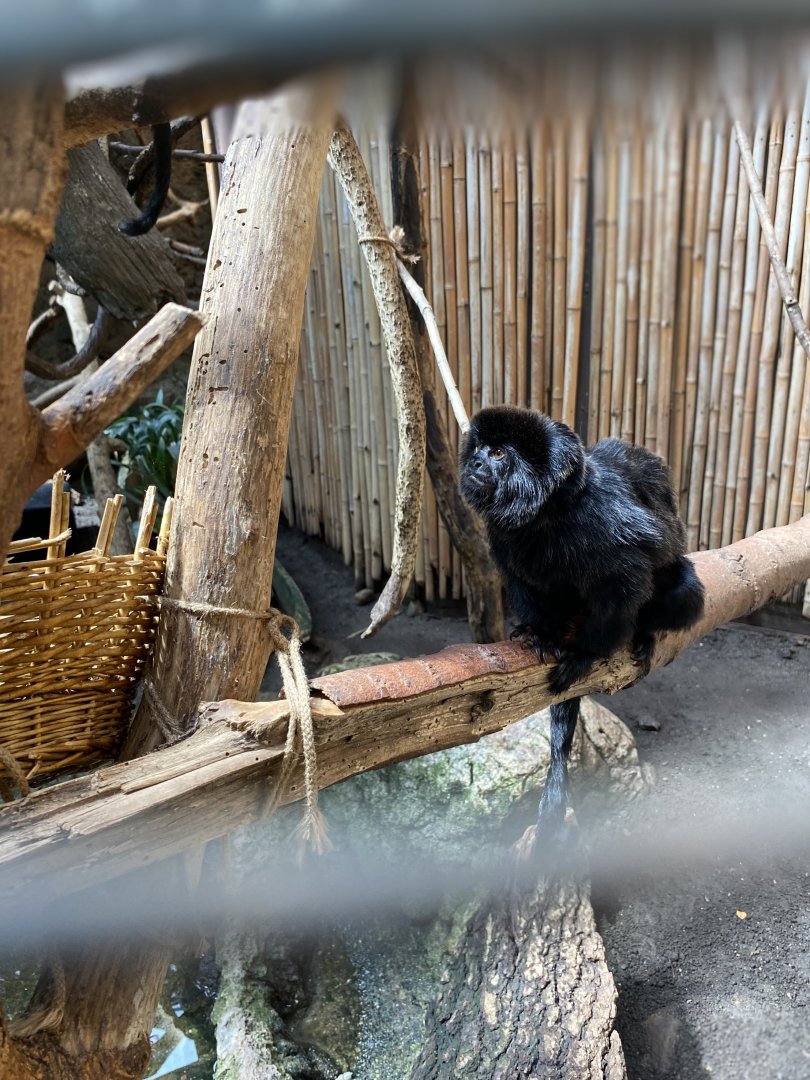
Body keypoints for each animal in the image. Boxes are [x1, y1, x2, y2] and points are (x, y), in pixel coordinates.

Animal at [459, 405, 704, 836]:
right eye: (479, 448)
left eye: (499, 454)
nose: (475, 462)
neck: (547, 516)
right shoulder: (505, 540)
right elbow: (525, 583)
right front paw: (541, 633)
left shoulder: (603, 524)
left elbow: (626, 583)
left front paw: (584, 656)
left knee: (684, 592)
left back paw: (643, 635)